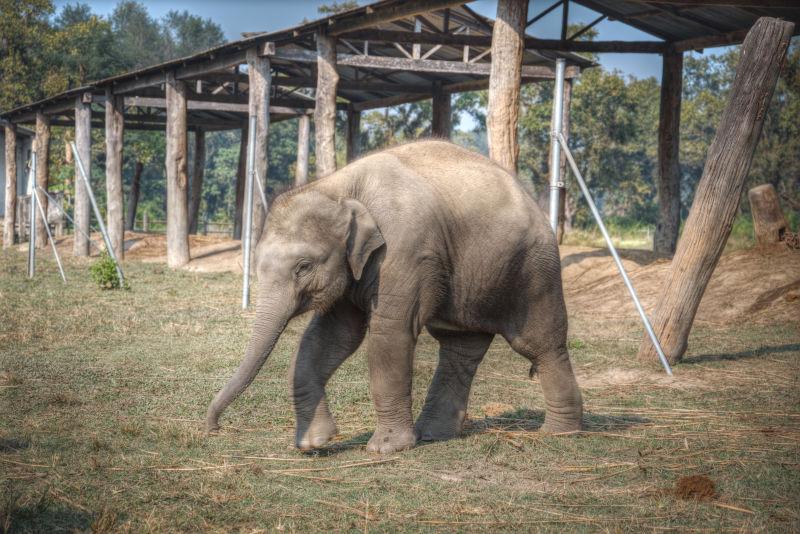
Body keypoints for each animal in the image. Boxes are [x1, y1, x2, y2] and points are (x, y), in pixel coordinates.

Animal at [206, 140, 580, 454]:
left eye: (303, 267)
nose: (213, 428)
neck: (339, 187)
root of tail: (531, 199)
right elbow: (332, 336)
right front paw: (314, 443)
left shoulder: (404, 252)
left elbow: (389, 334)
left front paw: (385, 449)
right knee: (460, 346)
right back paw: (433, 435)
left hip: (534, 270)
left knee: (539, 343)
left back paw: (561, 432)